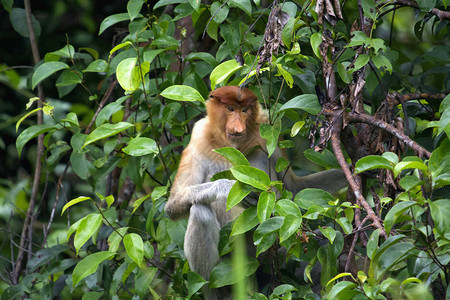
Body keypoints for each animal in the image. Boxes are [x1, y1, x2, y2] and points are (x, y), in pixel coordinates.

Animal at [165, 86, 344, 292]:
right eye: (230, 109)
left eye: (244, 110)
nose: (238, 127)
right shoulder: (199, 135)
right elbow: (172, 204)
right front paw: (228, 188)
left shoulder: (268, 126)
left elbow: (293, 188)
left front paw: (351, 174)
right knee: (200, 212)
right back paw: (215, 288)